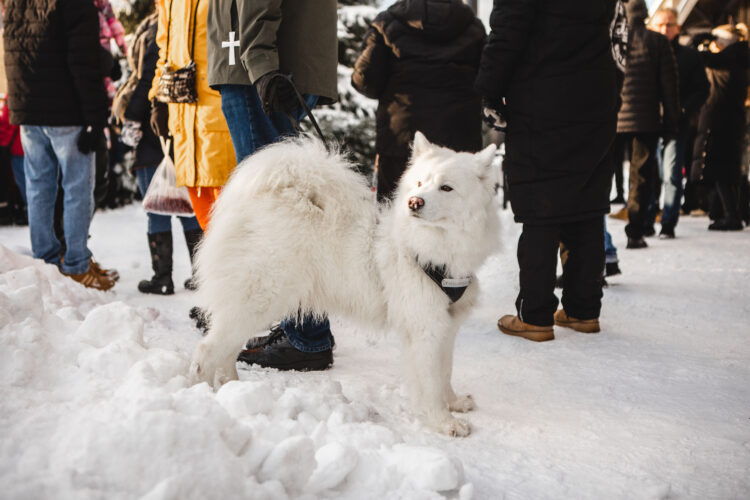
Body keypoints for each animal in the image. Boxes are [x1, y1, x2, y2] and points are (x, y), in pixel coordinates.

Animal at [191, 132, 502, 434]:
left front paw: (454, 403)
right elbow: (431, 382)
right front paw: (444, 422)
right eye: (419, 183)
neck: (432, 250)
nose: (414, 202)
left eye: (446, 188)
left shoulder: (446, 326)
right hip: (259, 299)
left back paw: (234, 388)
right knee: (207, 351)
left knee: (227, 351)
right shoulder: (425, 329)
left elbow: (445, 372)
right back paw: (205, 394)